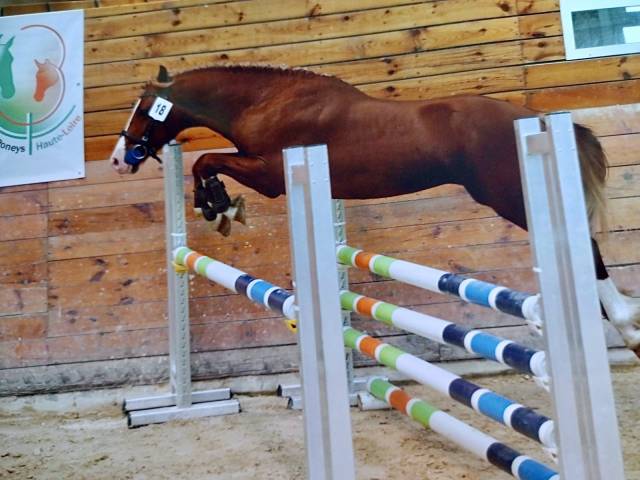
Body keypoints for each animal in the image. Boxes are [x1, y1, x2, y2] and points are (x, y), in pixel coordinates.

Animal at [112, 64, 636, 352]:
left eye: (142, 107)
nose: (119, 159)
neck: (270, 102)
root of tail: (535, 120)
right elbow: (206, 162)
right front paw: (218, 206)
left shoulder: (271, 175)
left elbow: (206, 161)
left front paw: (219, 207)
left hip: (512, 197)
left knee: (586, 250)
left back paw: (624, 325)